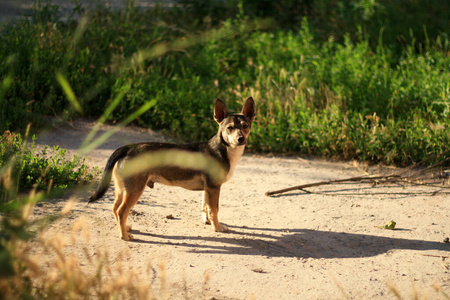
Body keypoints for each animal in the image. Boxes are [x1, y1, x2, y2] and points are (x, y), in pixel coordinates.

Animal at [89, 97, 256, 240]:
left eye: (245, 126)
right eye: (229, 128)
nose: (241, 139)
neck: (224, 149)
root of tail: (128, 148)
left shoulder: (208, 189)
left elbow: (206, 208)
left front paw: (208, 222)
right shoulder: (214, 187)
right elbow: (214, 209)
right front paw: (218, 227)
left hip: (122, 189)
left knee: (115, 209)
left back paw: (125, 228)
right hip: (134, 191)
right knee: (121, 211)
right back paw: (124, 236)